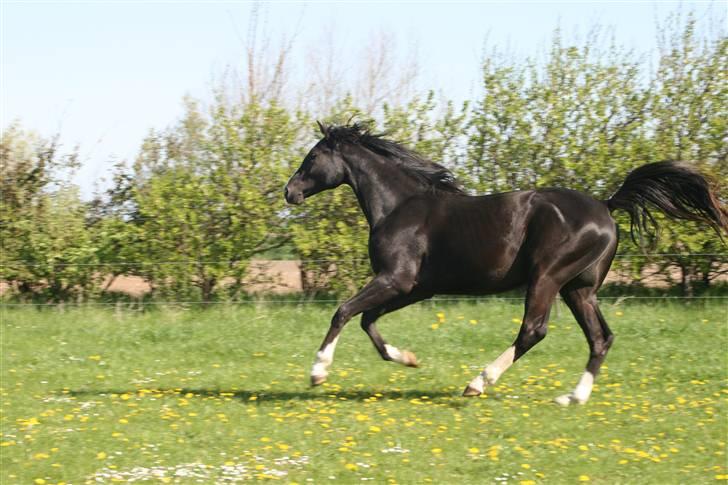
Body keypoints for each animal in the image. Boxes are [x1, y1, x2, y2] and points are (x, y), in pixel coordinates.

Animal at [284, 121, 728, 404]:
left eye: (313, 156)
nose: (290, 192)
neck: (401, 206)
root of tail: (606, 205)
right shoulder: (414, 287)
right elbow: (368, 321)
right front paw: (407, 358)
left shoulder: (396, 279)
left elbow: (344, 312)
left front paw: (318, 372)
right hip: (579, 288)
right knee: (600, 338)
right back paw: (572, 397)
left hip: (547, 277)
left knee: (534, 330)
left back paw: (478, 383)